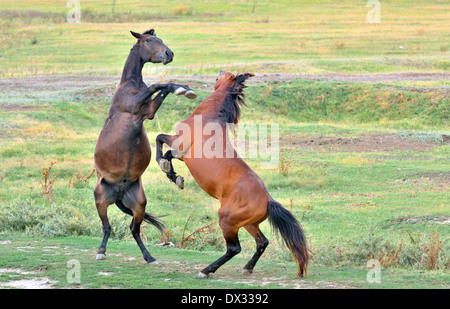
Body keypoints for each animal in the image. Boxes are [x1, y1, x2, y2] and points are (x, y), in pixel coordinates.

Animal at [93, 28, 195, 264]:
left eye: (159, 39)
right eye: (149, 40)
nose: (169, 54)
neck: (130, 85)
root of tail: (119, 191)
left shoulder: (148, 111)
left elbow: (161, 88)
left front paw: (183, 88)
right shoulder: (135, 106)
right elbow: (156, 85)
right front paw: (182, 89)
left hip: (139, 203)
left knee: (134, 229)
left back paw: (149, 256)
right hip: (101, 199)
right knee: (107, 227)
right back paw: (101, 251)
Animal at [156, 70, 310, 276]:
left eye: (227, 75)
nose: (220, 72)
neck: (210, 118)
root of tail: (268, 200)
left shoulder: (179, 147)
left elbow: (161, 143)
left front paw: (170, 172)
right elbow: (163, 146)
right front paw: (174, 176)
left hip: (227, 221)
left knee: (234, 248)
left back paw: (206, 270)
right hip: (249, 223)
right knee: (262, 242)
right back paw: (247, 267)